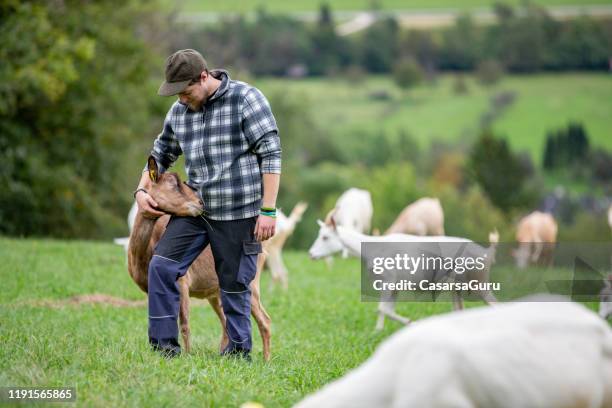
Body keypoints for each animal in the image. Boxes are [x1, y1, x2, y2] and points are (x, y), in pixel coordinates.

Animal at [308, 218, 500, 330]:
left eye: (325, 237)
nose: (311, 254)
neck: (371, 247)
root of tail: (487, 253)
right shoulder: (393, 287)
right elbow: (385, 310)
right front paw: (379, 331)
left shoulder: (388, 281)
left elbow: (382, 309)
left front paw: (412, 323)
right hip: (457, 288)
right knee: (459, 310)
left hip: (478, 283)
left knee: (496, 305)